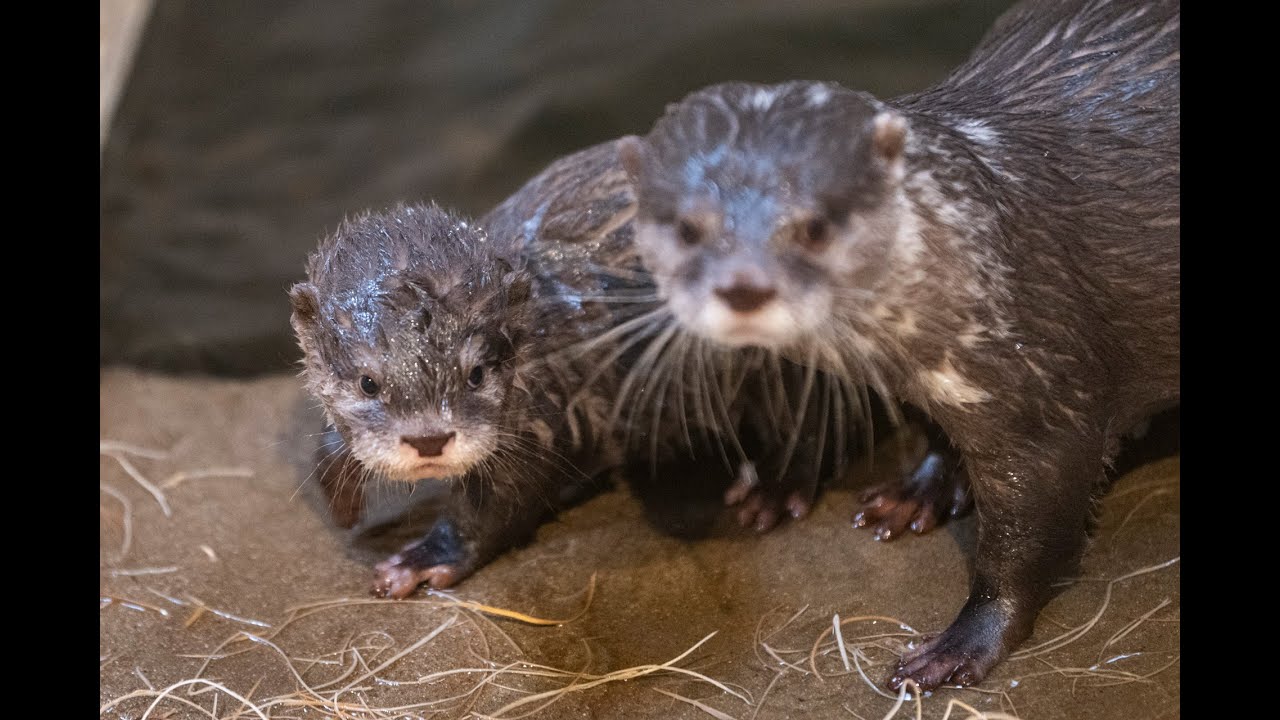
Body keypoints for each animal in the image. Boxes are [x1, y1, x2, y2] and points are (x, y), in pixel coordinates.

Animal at [618, 0, 1179, 691]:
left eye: (816, 224)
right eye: (686, 227)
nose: (744, 287)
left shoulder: (1045, 397)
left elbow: (1026, 541)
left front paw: (959, 648)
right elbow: (934, 433)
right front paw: (911, 491)